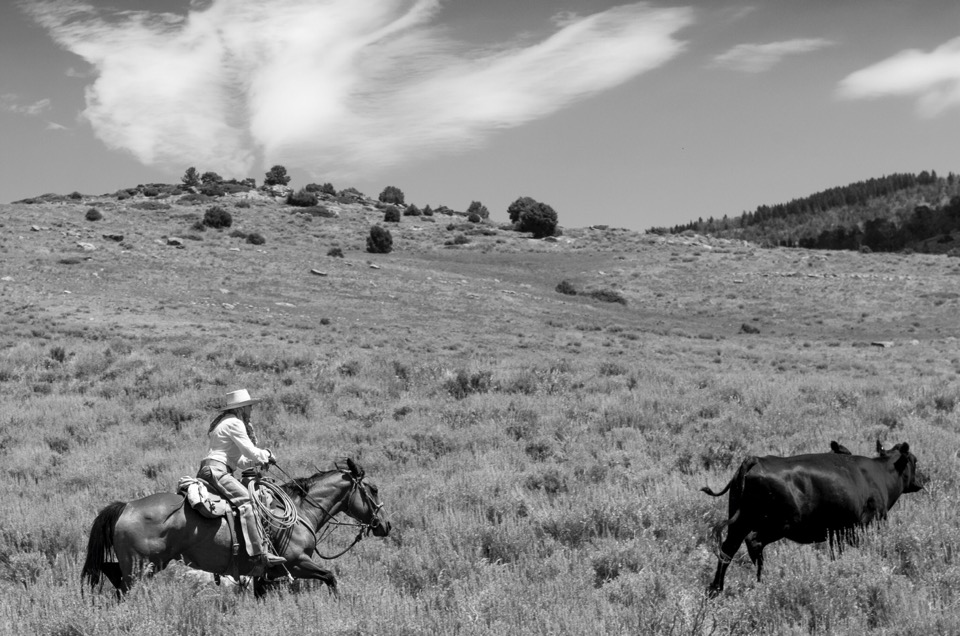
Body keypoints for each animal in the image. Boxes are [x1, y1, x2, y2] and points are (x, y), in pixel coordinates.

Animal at [81, 458, 390, 596]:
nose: (385, 525)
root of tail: (127, 506)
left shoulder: (264, 575)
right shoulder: (297, 562)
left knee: (111, 575)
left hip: (139, 565)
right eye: (373, 489)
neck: (300, 511)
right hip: (141, 566)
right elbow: (330, 577)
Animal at [704, 440, 924, 592]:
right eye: (914, 460)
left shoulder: (837, 532)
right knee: (754, 542)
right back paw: (762, 582)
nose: (922, 480)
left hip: (740, 523)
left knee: (727, 549)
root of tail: (756, 459)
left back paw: (716, 589)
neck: (880, 474)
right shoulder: (865, 526)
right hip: (778, 525)